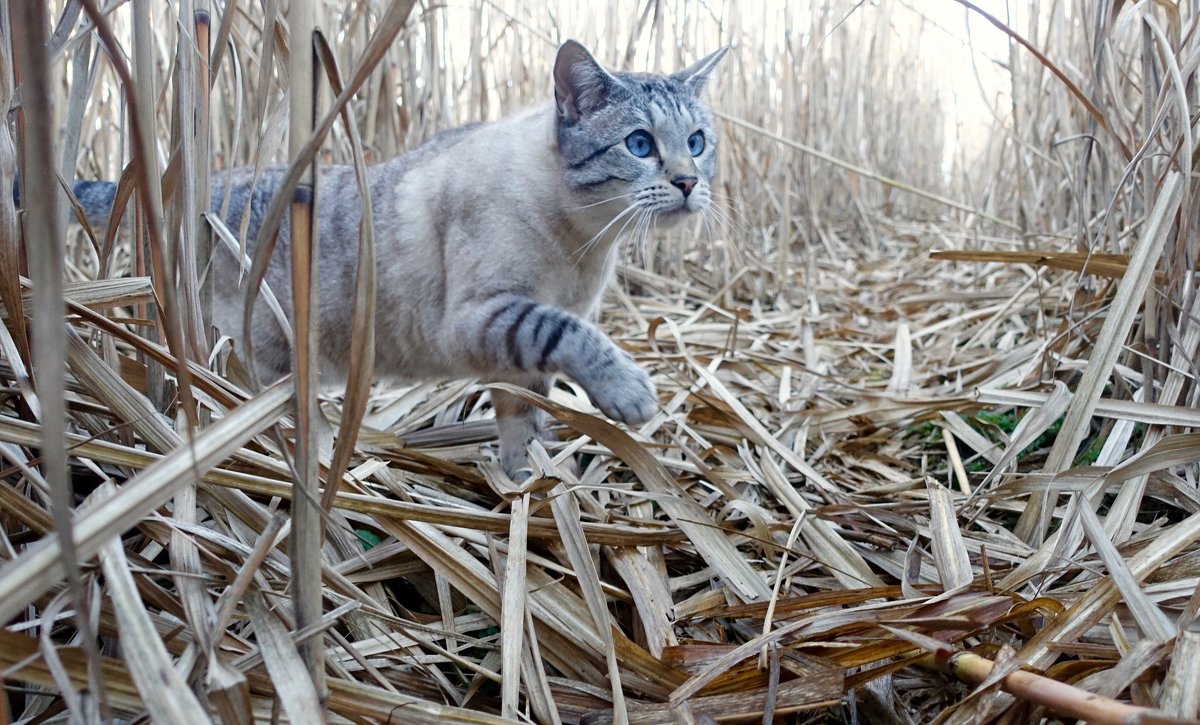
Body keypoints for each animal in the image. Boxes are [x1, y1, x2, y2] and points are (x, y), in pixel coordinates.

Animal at [58, 42, 729, 477]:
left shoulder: (513, 357)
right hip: (250, 352)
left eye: (697, 143)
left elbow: (524, 416)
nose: (689, 182)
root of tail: (203, 187)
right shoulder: (482, 318)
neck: (584, 240)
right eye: (639, 145)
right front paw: (630, 395)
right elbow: (569, 334)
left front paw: (526, 485)